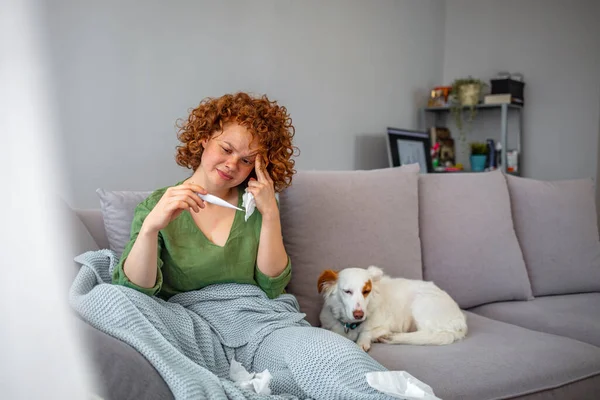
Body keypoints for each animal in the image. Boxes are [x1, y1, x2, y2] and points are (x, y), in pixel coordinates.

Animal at [316, 268, 466, 352]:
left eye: (366, 291)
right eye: (347, 291)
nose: (359, 315)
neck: (351, 325)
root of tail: (461, 321)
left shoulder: (384, 325)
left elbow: (367, 332)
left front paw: (362, 342)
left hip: (421, 304)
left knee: (429, 334)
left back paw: (393, 337)